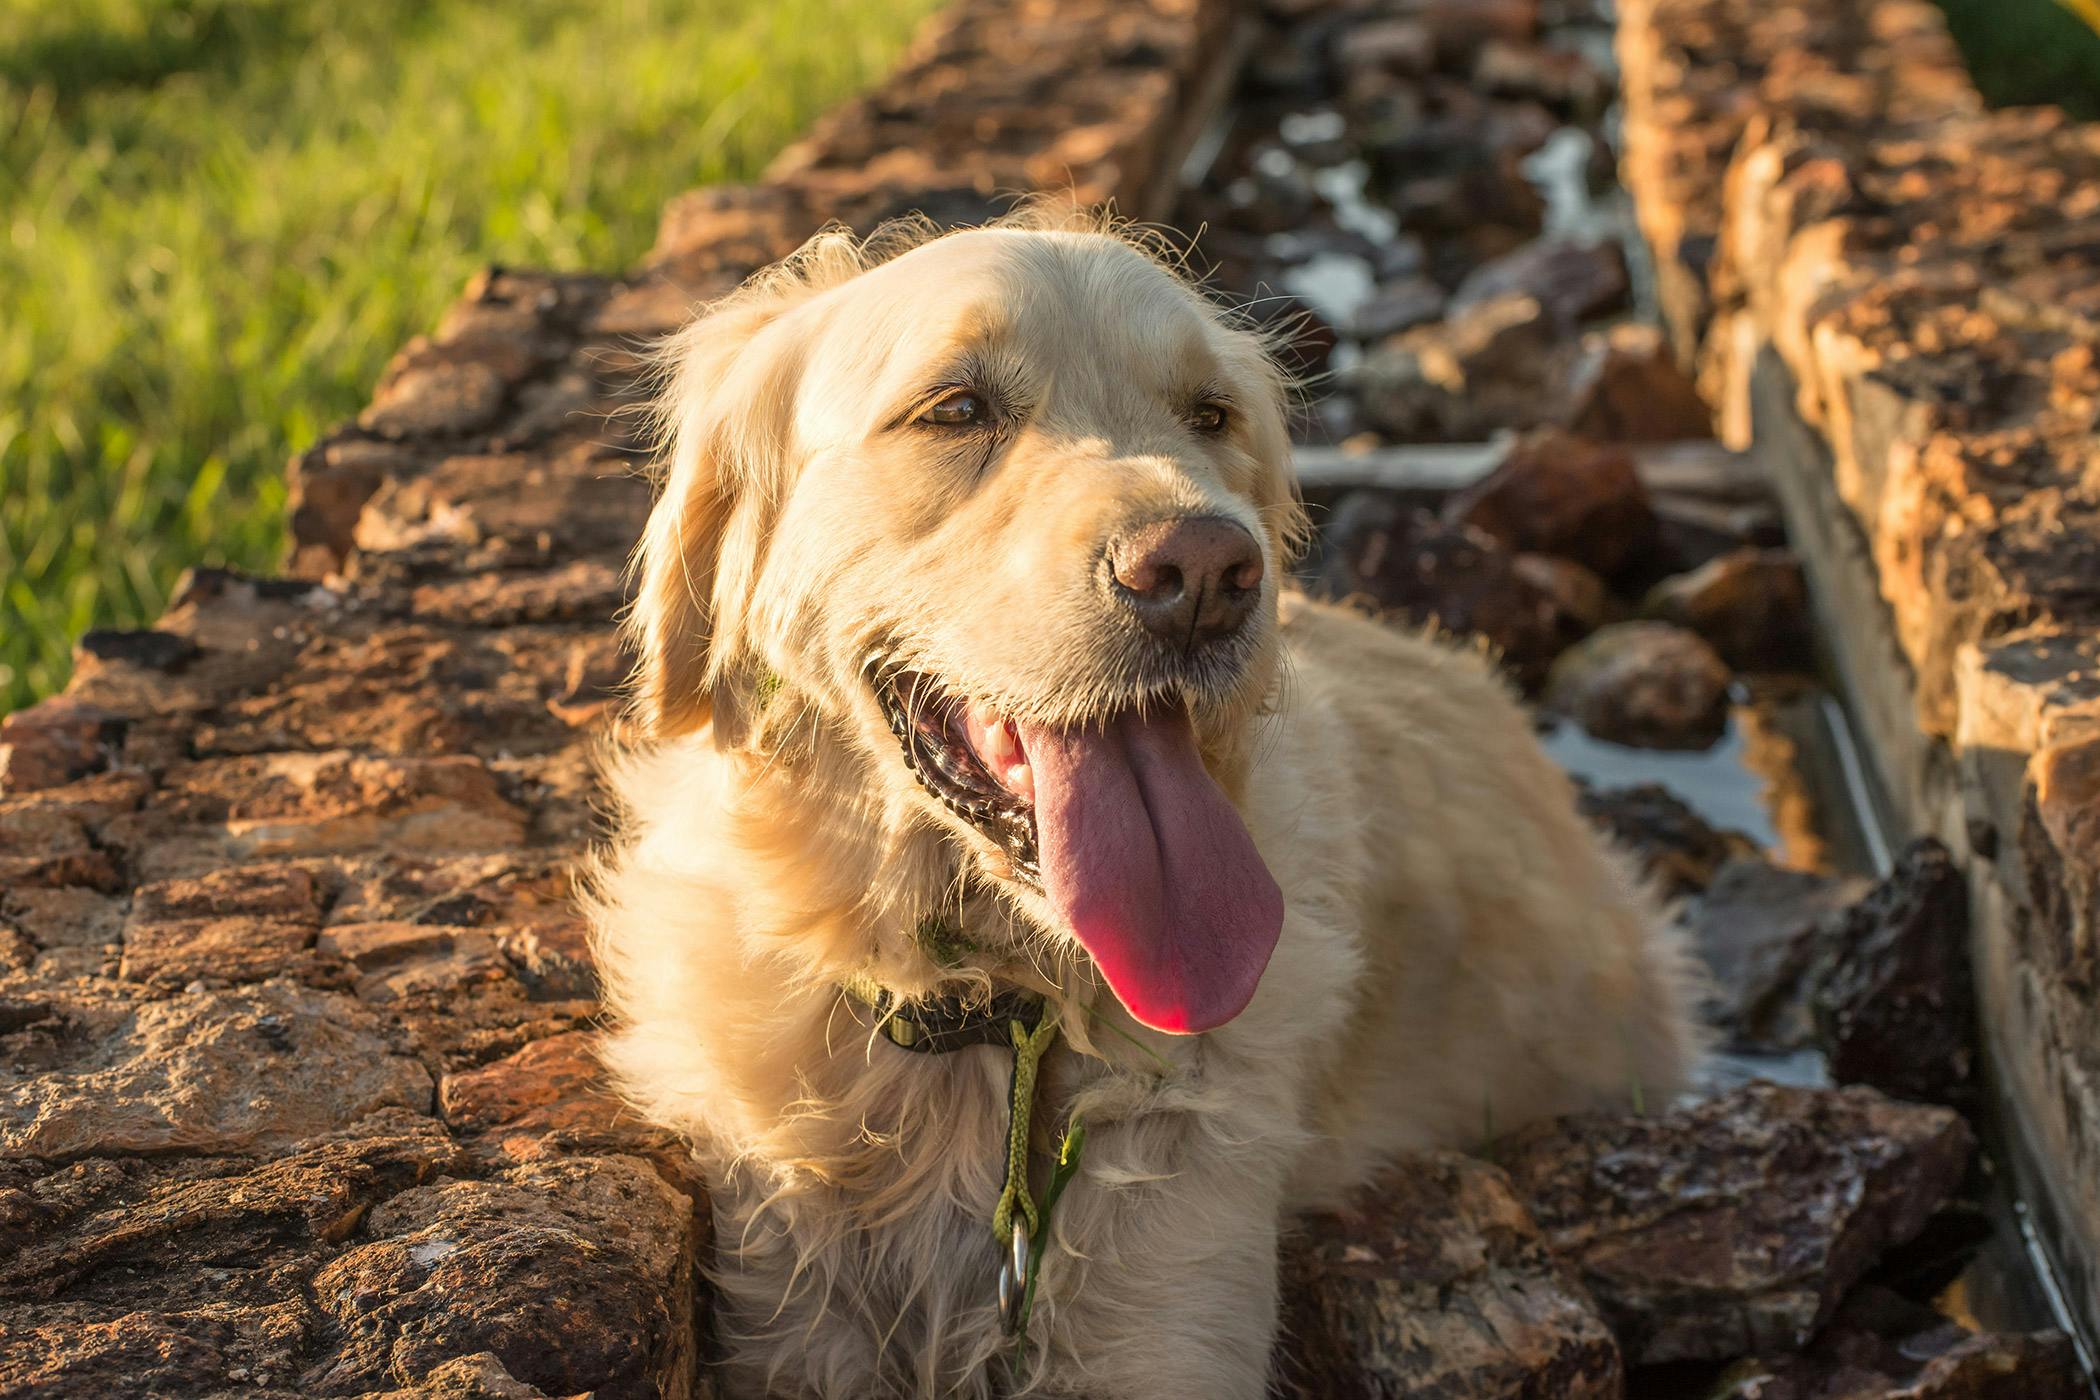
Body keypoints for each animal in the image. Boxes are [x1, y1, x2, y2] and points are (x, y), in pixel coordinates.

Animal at [592, 207, 1705, 1400]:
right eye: (956, 408)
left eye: (1208, 415)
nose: (1205, 572)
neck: (1000, 1015)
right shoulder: (791, 1321)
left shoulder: (1169, 1315)